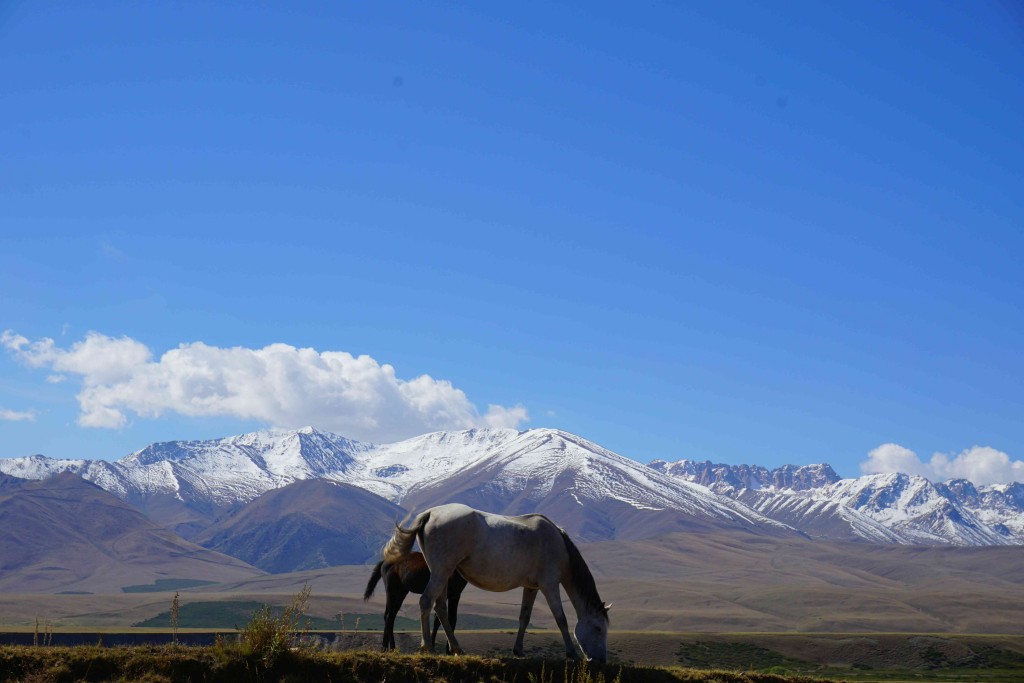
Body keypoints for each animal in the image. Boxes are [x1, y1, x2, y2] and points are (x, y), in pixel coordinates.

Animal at [382, 501, 606, 663]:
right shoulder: (549, 585)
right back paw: (428, 647)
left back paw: (456, 648)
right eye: (598, 628)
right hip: (440, 572)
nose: (601, 660)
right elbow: (561, 619)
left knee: (440, 608)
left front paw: (518, 650)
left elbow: (524, 617)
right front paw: (572, 653)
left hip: (441, 574)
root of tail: (430, 513)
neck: (558, 545)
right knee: (426, 602)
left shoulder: (531, 588)